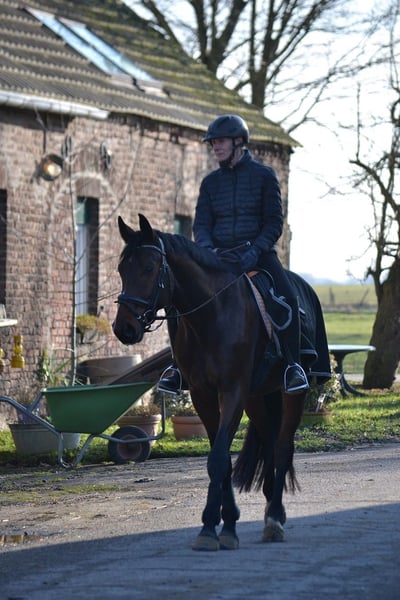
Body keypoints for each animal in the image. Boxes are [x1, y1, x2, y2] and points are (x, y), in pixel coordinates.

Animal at [113, 214, 331, 550]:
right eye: (122, 269)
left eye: (149, 268)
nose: (123, 328)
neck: (212, 315)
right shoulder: (203, 394)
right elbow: (221, 458)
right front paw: (225, 523)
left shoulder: (232, 391)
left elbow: (218, 458)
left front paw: (211, 527)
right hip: (257, 397)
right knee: (270, 442)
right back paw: (272, 510)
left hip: (291, 393)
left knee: (282, 446)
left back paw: (274, 519)